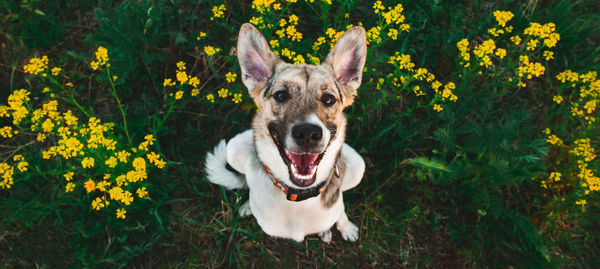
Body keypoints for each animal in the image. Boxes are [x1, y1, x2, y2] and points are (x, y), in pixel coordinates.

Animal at [205, 22, 366, 241]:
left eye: (329, 99)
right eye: (281, 95)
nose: (308, 134)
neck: (299, 198)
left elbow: (339, 211)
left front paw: (345, 227)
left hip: (358, 166)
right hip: (233, 148)